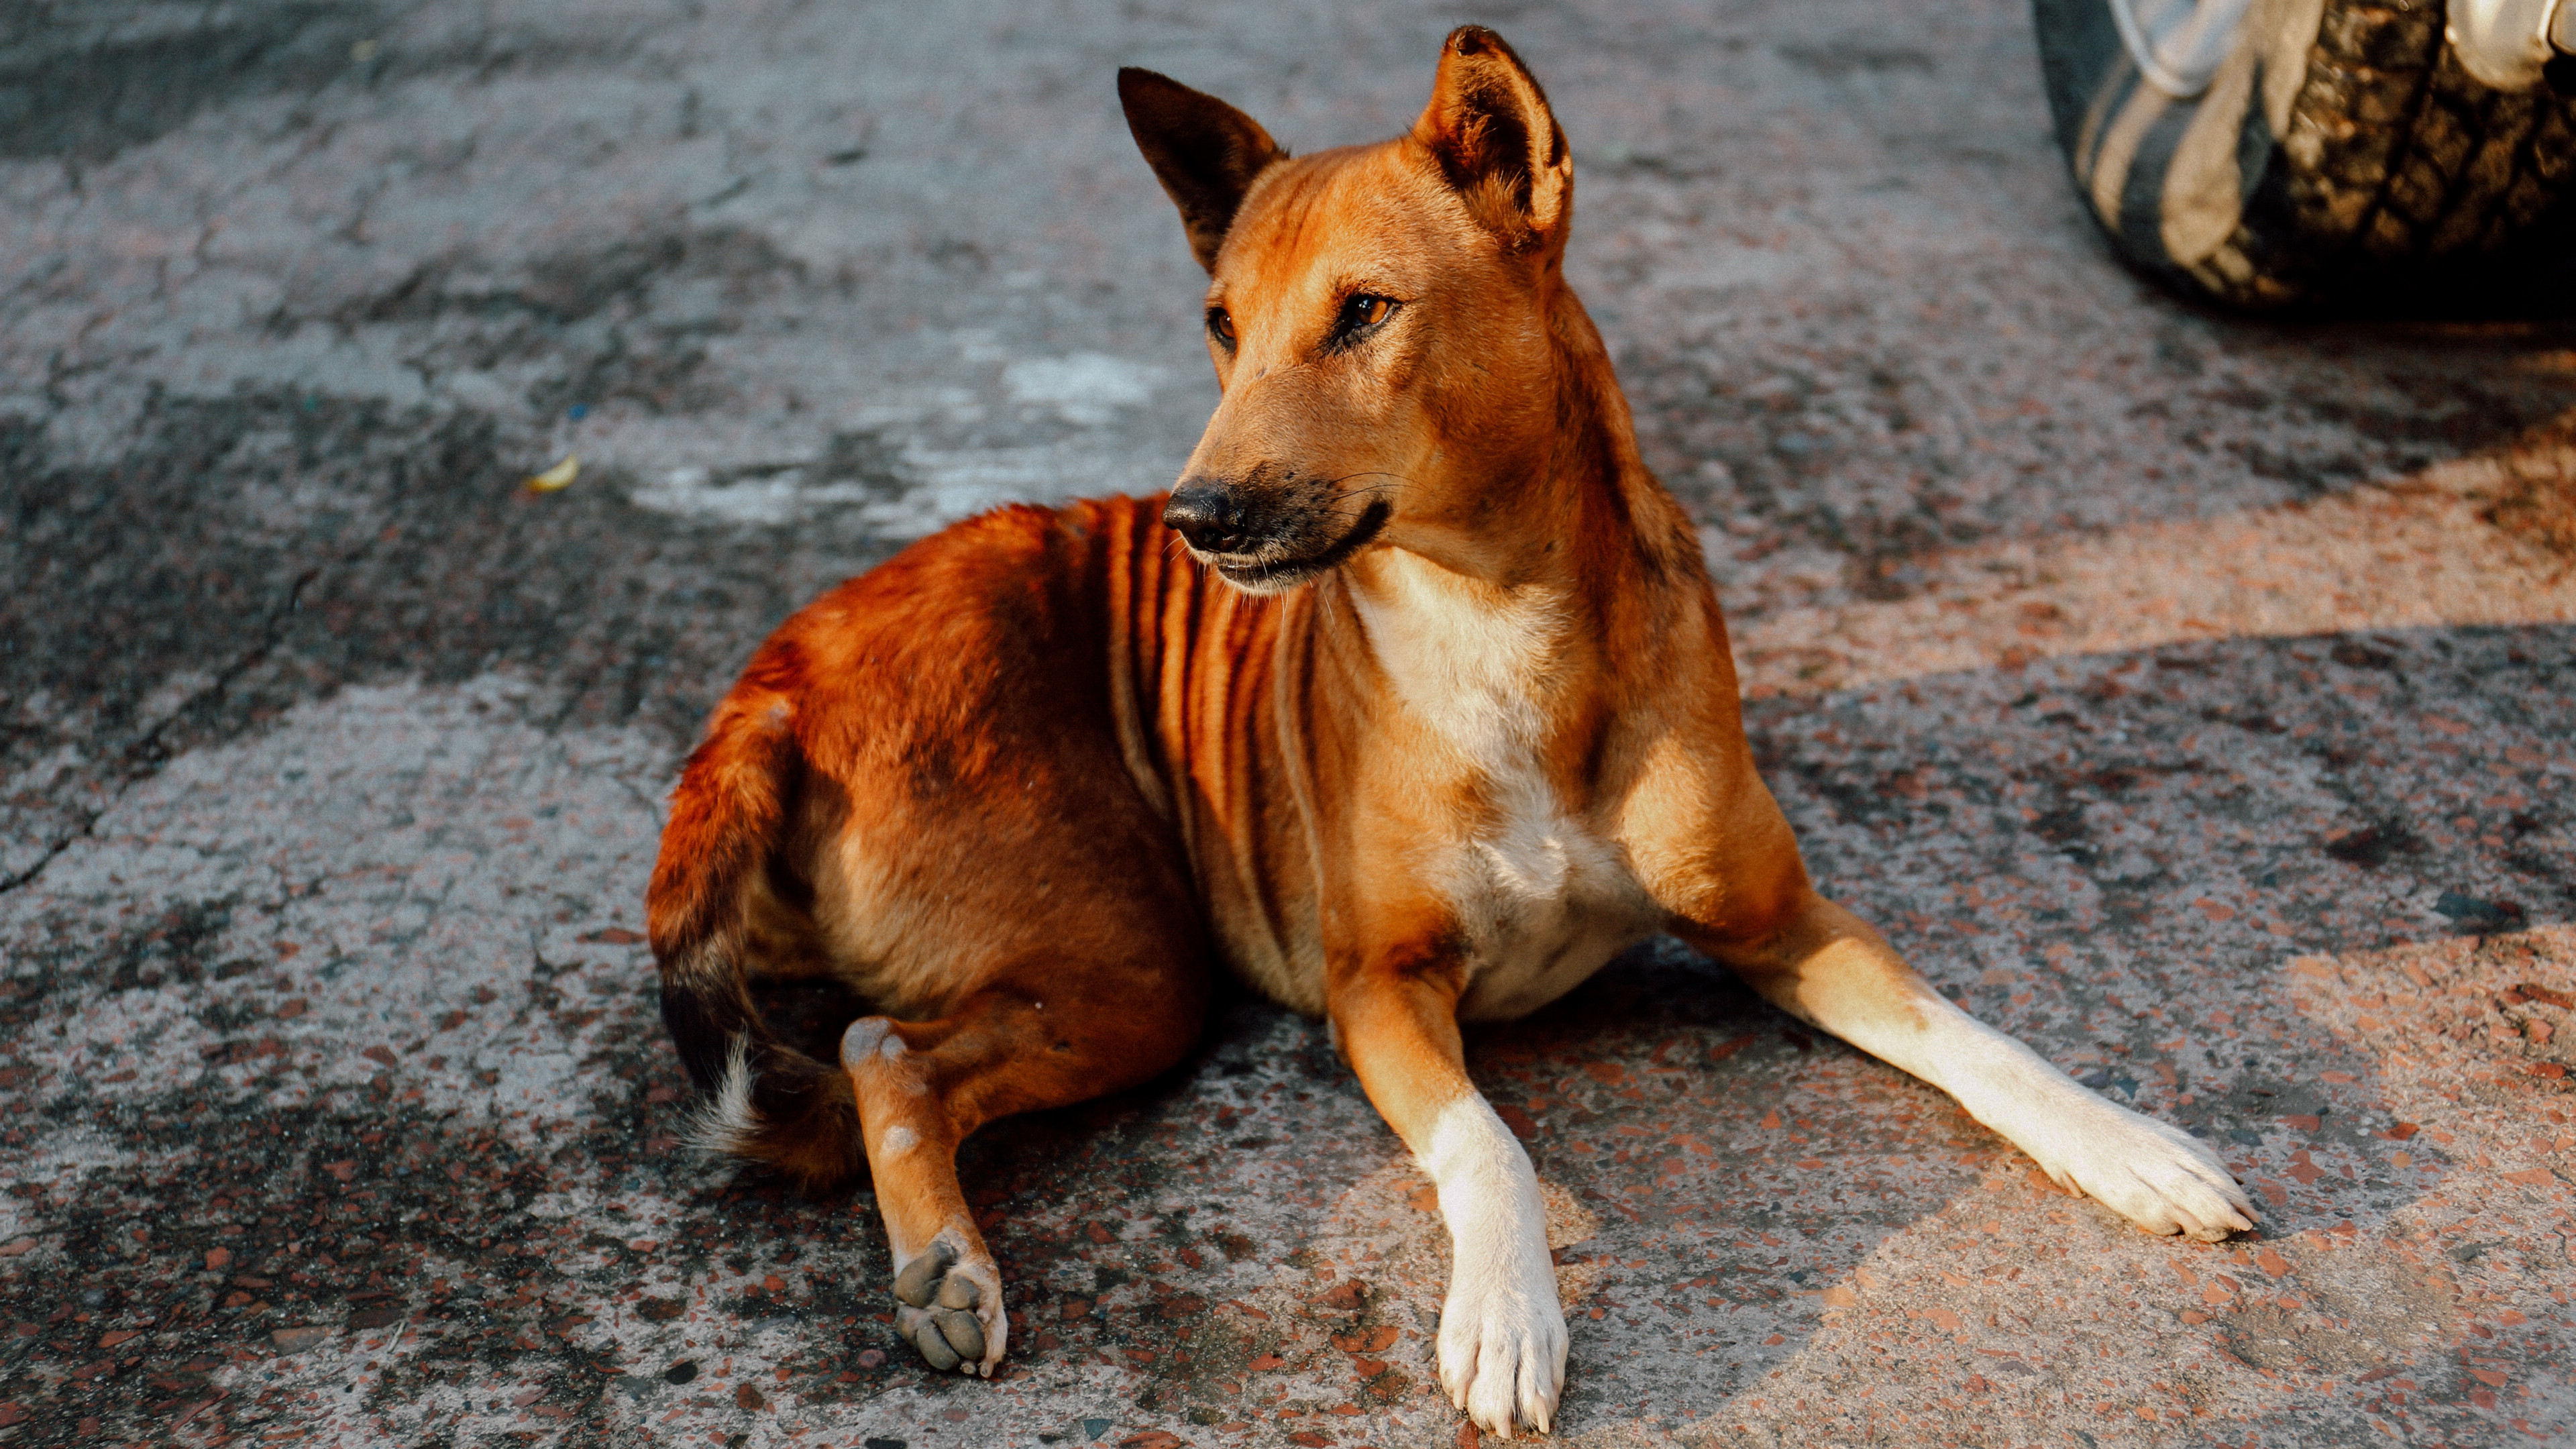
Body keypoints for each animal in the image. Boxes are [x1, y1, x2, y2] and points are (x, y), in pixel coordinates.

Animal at [649, 25, 2256, 1433]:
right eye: (1222, 328)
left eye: (1363, 312)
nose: (1195, 520)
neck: (1498, 627)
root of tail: (774, 680)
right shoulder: (1377, 986)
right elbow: (1492, 1145)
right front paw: (1507, 1315)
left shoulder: (1786, 923)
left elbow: (1977, 1037)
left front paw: (2129, 1145)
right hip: (1134, 973)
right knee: (884, 1050)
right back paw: (947, 1264)